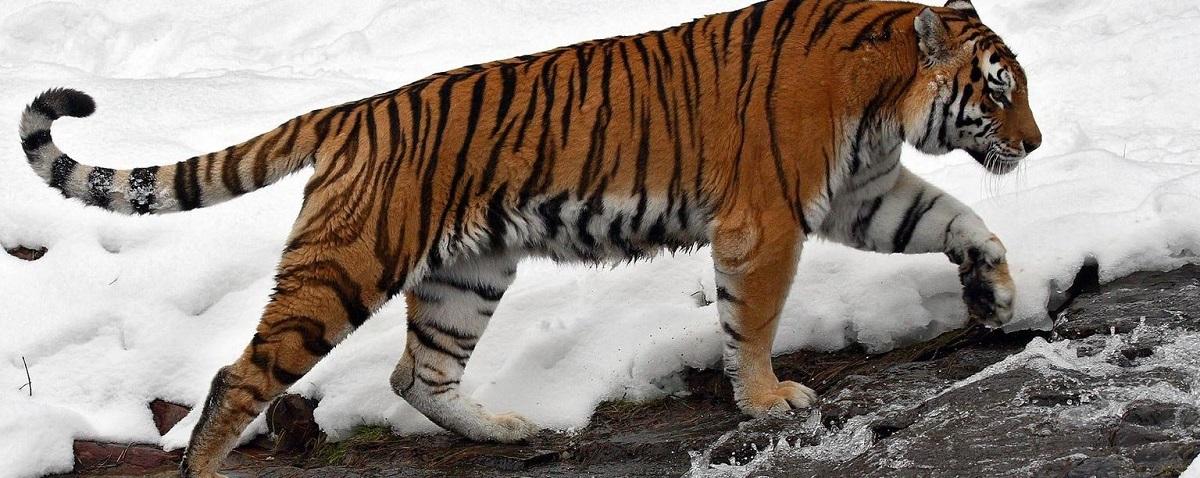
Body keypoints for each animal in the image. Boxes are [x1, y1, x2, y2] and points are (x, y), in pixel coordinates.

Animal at [16, 0, 1041, 473]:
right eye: (998, 91)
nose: (1033, 144)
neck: (885, 95)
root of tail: (351, 112)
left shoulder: (860, 194)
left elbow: (960, 220)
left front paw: (996, 291)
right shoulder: (769, 220)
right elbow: (752, 320)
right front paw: (767, 401)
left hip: (468, 274)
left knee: (417, 375)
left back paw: (509, 430)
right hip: (345, 267)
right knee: (239, 376)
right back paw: (208, 465)